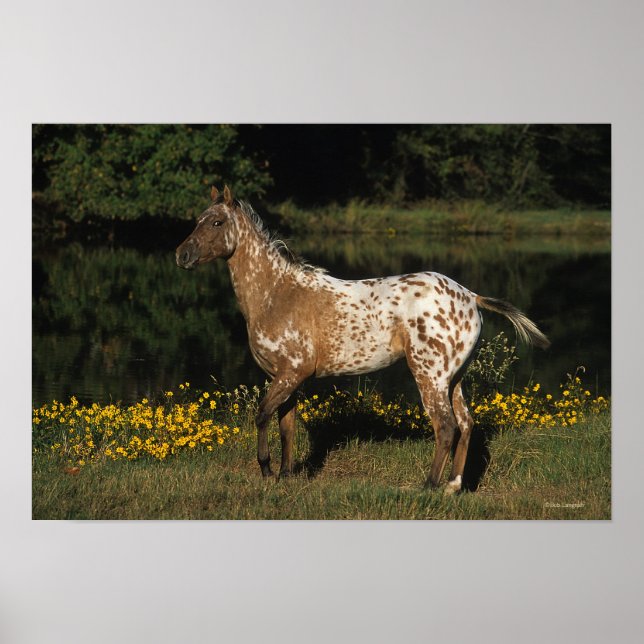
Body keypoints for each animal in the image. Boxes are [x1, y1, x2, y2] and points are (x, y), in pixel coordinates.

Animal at [176, 186, 550, 493]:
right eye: (197, 221)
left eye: (217, 223)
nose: (182, 255)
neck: (276, 293)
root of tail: (471, 297)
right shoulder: (286, 378)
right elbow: (286, 426)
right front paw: (284, 476)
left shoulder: (291, 374)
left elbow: (262, 415)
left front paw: (267, 471)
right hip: (454, 378)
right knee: (466, 423)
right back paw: (453, 486)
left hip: (430, 375)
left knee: (445, 426)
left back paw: (429, 486)